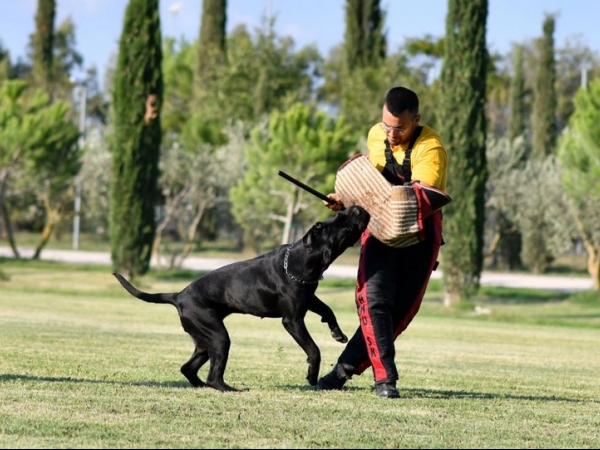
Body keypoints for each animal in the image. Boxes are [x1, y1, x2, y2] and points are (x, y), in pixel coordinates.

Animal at [110, 206, 368, 392]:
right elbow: (314, 349)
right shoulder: (293, 321)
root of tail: (178, 295)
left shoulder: (308, 298)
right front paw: (312, 375)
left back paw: (201, 386)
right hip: (218, 338)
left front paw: (337, 333)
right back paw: (226, 389)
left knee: (188, 368)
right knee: (213, 375)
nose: (356, 207)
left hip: (205, 342)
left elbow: (328, 310)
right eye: (336, 220)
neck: (301, 259)